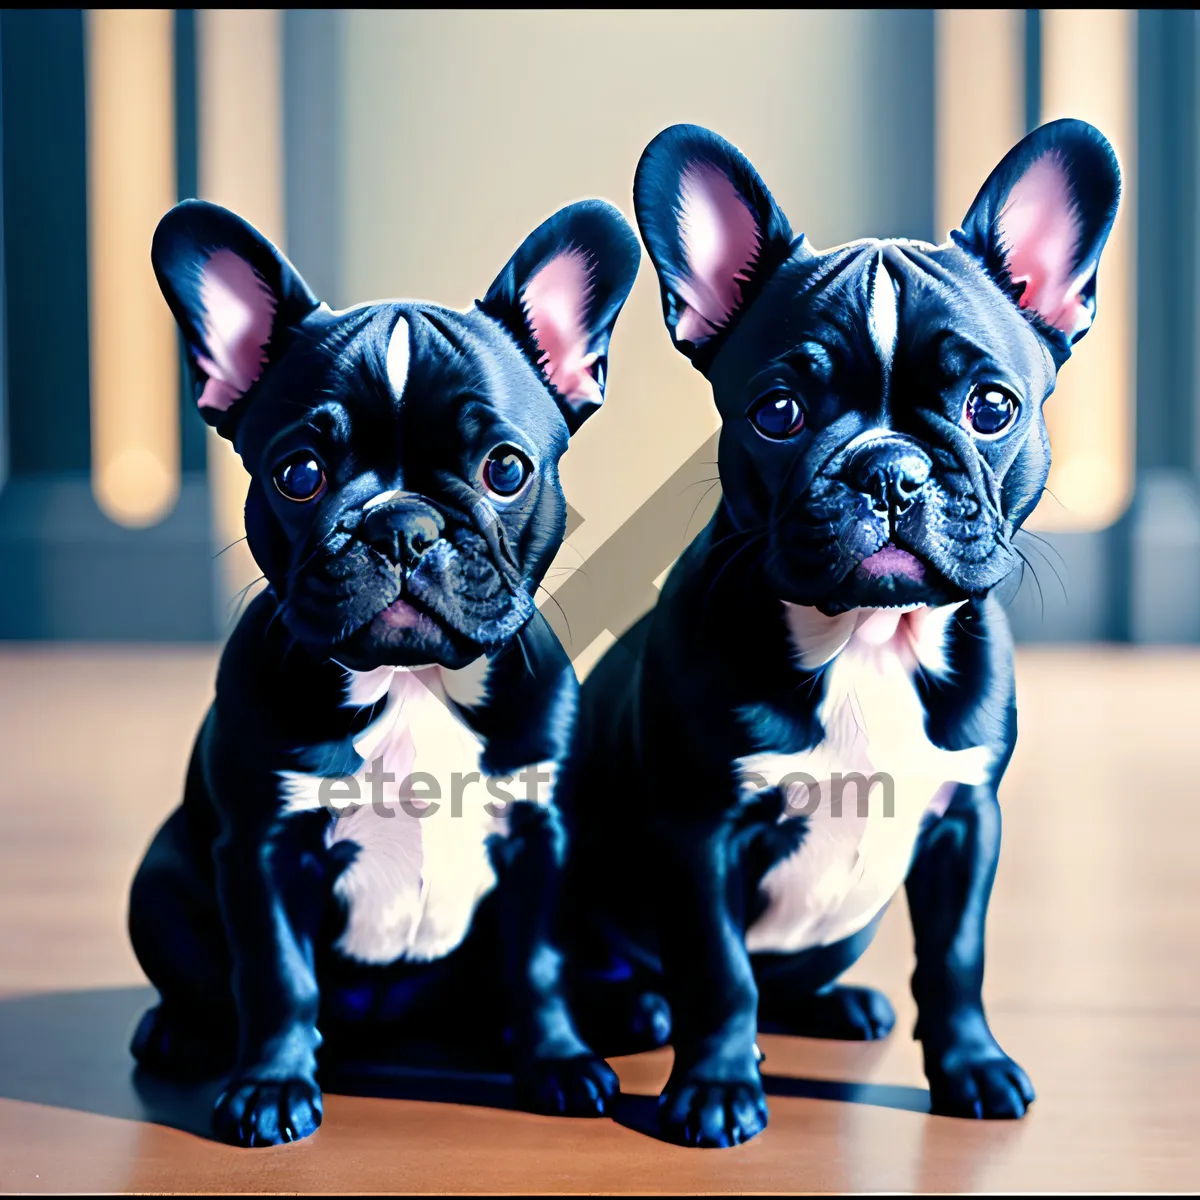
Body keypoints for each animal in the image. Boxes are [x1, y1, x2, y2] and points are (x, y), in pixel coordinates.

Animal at [127, 194, 643, 1142]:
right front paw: (271, 1087)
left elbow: (538, 962)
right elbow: (277, 977)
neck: (412, 683)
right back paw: (177, 1031)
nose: (401, 523)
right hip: (159, 882)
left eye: (505, 469)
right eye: (299, 472)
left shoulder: (540, 839)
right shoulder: (265, 849)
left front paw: (557, 1061)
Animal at [561, 119, 1123, 1142]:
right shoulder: (702, 833)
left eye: (992, 408)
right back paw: (636, 1010)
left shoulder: (965, 823)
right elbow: (718, 971)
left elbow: (957, 959)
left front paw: (972, 1069)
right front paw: (713, 1089)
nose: (890, 469)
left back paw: (838, 1005)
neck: (869, 637)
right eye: (779, 413)